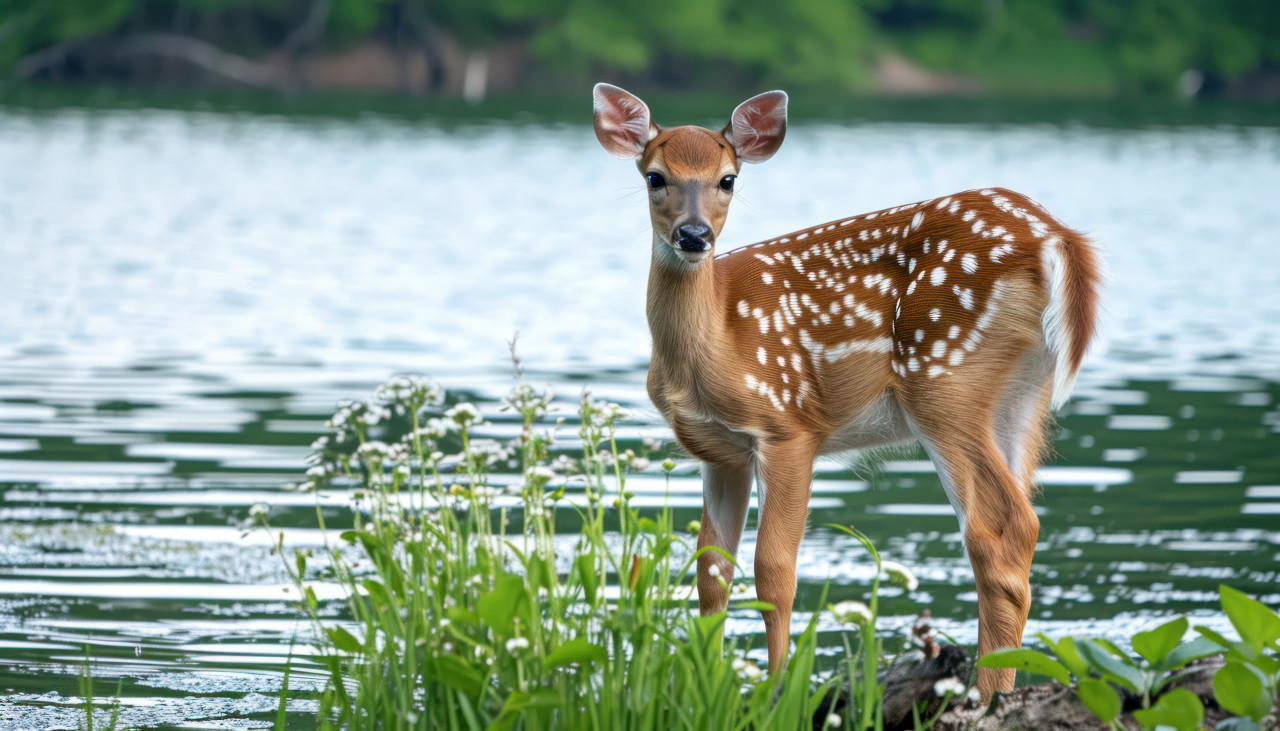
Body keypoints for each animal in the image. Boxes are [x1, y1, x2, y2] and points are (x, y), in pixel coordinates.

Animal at [591, 83, 1103, 698]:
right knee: (1017, 529)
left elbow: (774, 569)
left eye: (728, 178)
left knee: (998, 529)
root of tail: (1058, 237)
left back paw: (985, 696)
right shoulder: (722, 452)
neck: (712, 343)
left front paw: (776, 692)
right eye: (655, 176)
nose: (694, 236)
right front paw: (710, 689)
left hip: (944, 377)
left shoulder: (787, 425)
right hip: (1020, 396)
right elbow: (712, 573)